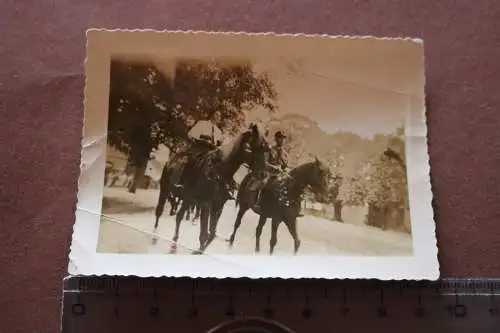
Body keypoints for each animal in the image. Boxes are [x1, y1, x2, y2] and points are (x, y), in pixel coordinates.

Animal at [170, 122, 270, 252]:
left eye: (265, 150)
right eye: (250, 148)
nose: (263, 175)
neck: (220, 172)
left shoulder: (218, 206)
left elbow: (212, 234)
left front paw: (202, 249)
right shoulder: (206, 204)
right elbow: (204, 234)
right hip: (188, 197)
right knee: (179, 216)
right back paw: (175, 239)